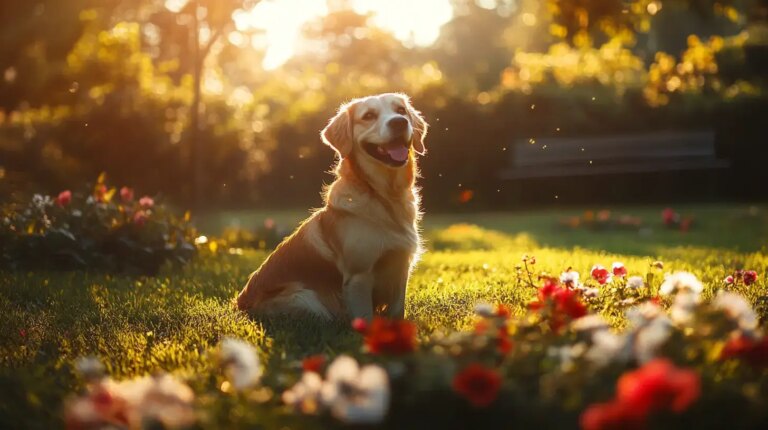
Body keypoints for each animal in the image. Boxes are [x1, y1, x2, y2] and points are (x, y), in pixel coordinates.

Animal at [236, 93, 426, 320]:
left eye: (401, 110)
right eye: (368, 116)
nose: (399, 122)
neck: (384, 195)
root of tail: (239, 305)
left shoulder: (401, 268)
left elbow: (397, 312)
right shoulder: (358, 276)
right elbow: (366, 318)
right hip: (306, 297)